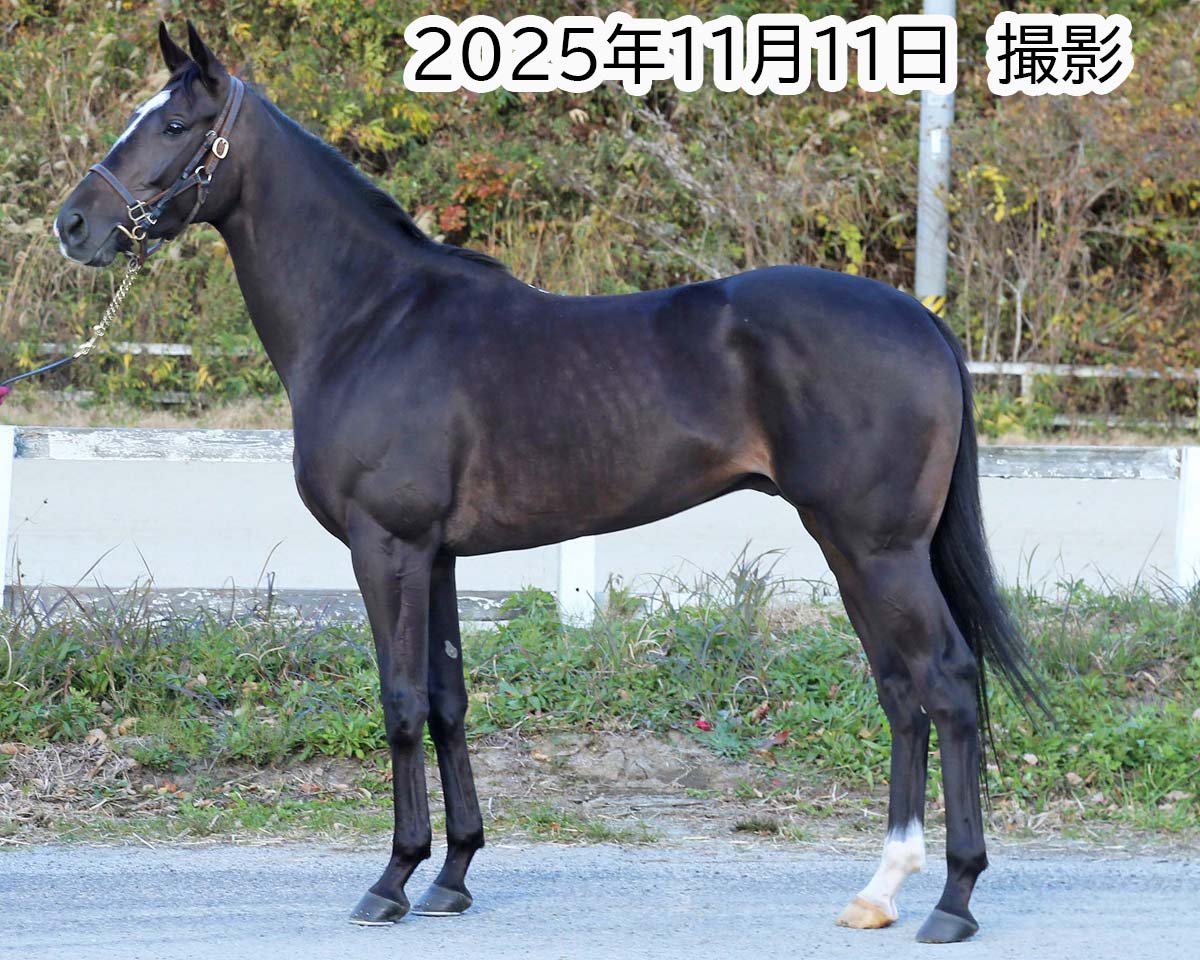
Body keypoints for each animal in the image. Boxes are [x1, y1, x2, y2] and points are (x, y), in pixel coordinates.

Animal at [54, 21, 1042, 944]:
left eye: (173, 124)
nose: (74, 225)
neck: (371, 320)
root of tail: (920, 317)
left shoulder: (387, 547)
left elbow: (401, 701)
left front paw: (392, 880)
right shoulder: (438, 556)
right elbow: (448, 701)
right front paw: (453, 876)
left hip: (881, 549)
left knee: (947, 682)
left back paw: (951, 899)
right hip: (848, 546)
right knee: (900, 690)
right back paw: (880, 891)